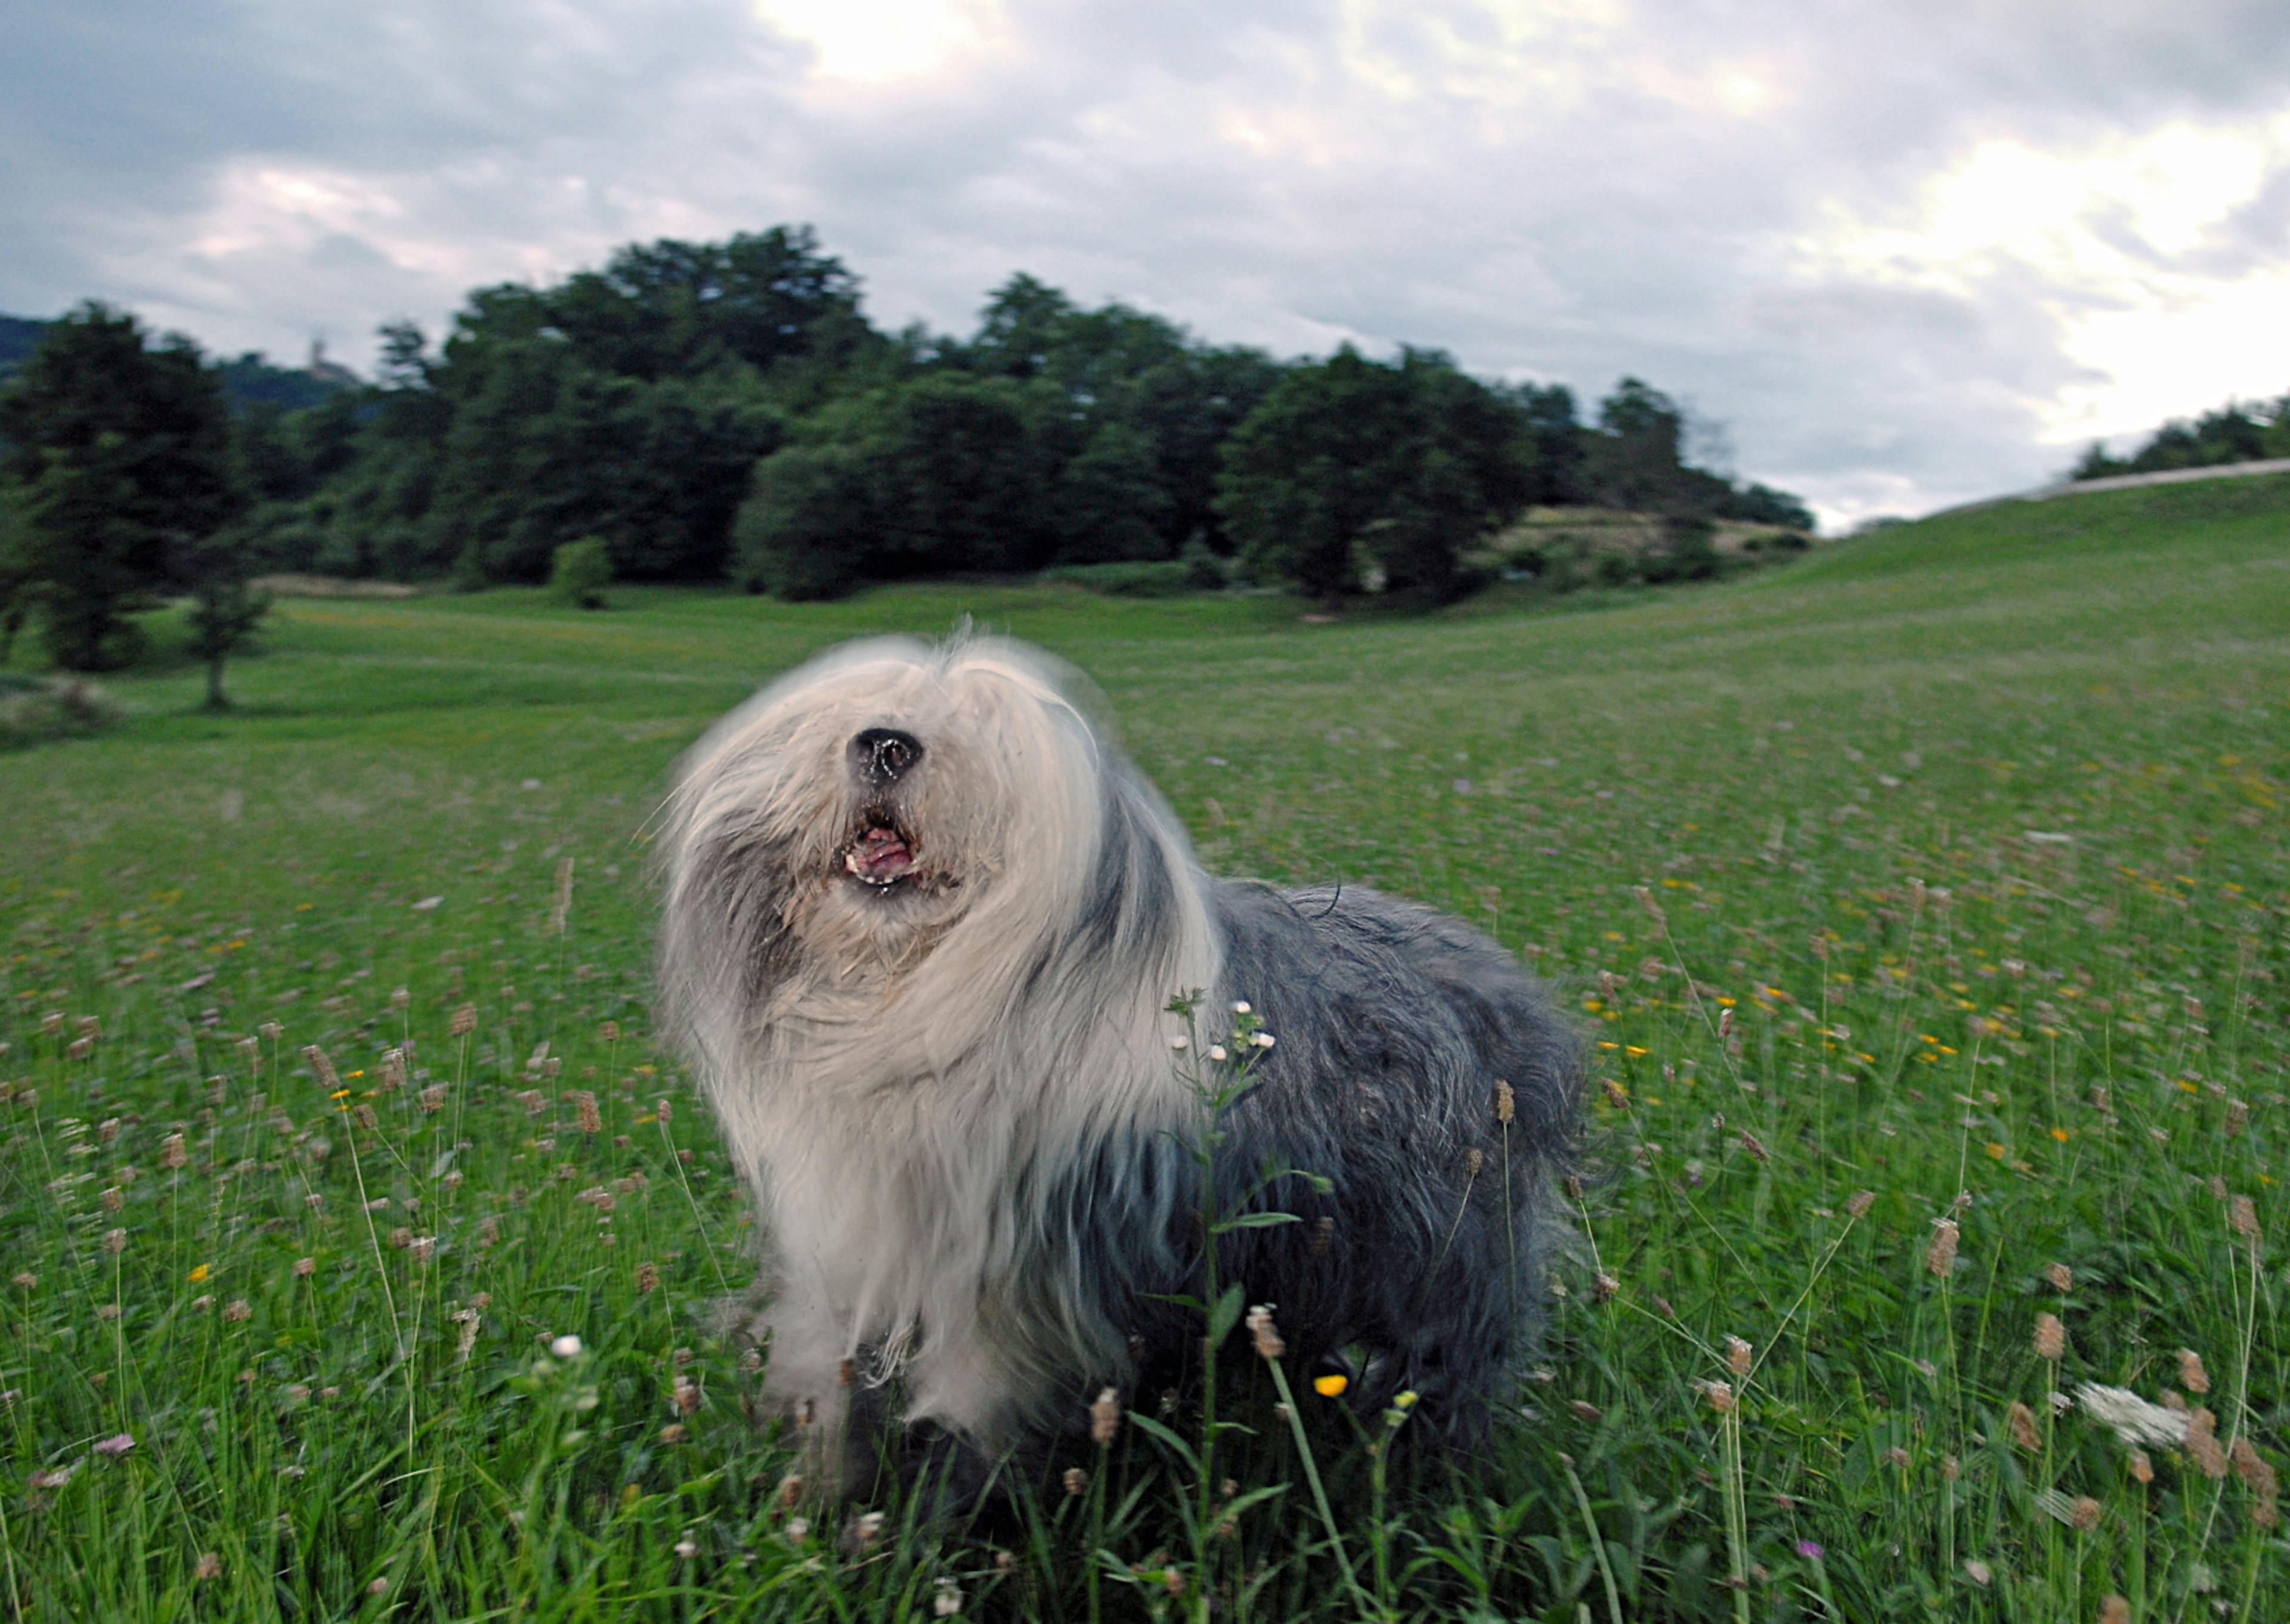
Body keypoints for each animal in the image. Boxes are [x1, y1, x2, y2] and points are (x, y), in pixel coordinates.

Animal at [655, 632, 1585, 1484]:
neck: (910, 1001)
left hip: (1439, 1264)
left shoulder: (1002, 1308)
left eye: (991, 742)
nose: (885, 745)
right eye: (859, 717)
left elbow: (965, 1431)